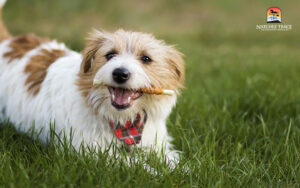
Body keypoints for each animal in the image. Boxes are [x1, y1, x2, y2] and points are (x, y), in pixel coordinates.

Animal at [0, 0, 185, 164]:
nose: (120, 74)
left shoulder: (157, 145)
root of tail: (8, 41)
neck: (123, 121)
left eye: (146, 58)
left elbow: (175, 163)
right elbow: (141, 167)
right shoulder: (95, 153)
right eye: (110, 55)